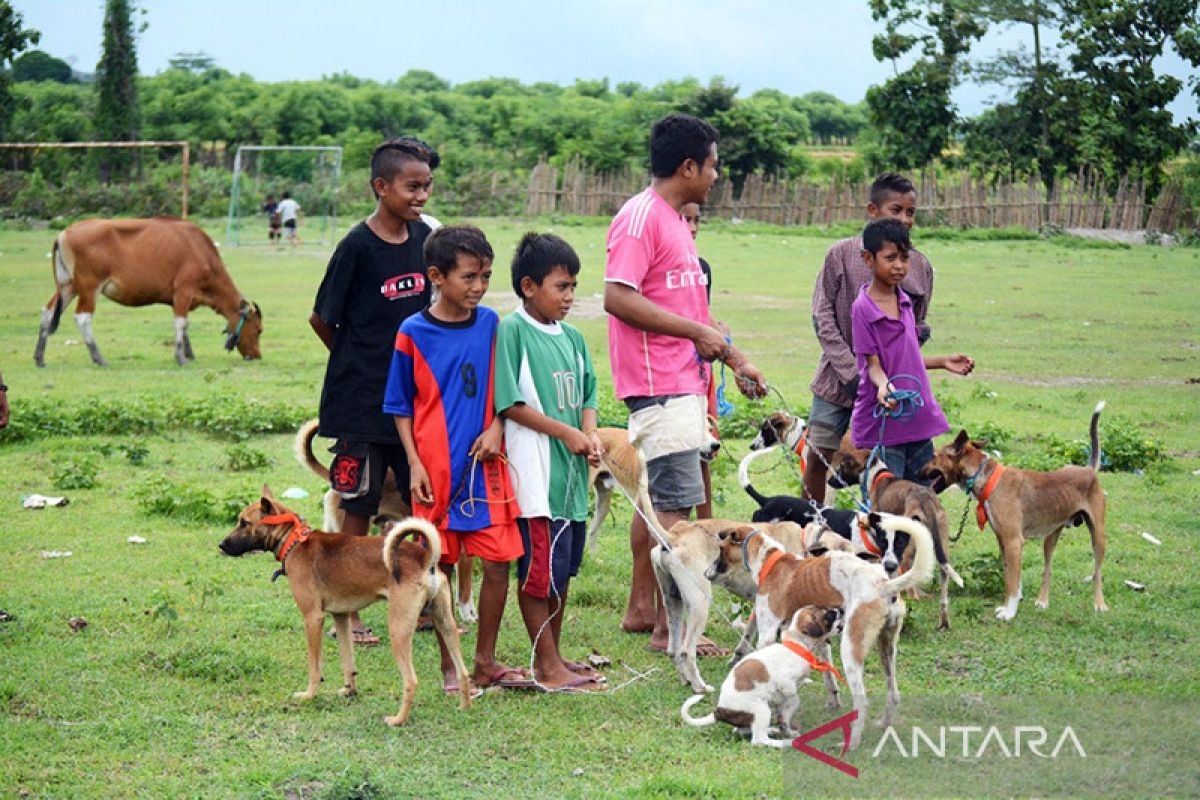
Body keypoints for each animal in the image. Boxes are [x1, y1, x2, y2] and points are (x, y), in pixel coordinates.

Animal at [35, 219, 262, 369]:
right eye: (259, 330)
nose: (257, 356)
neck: (201, 251)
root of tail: (64, 233)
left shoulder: (178, 298)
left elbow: (184, 325)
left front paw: (188, 353)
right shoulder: (184, 289)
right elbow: (181, 323)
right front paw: (181, 357)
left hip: (68, 286)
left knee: (48, 312)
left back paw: (39, 357)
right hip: (89, 288)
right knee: (83, 317)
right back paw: (98, 358)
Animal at [218, 484, 470, 729]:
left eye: (244, 523)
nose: (221, 545)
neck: (295, 541)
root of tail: (425, 558)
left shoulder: (313, 618)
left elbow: (314, 666)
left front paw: (309, 695)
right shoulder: (341, 617)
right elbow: (348, 660)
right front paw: (350, 690)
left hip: (398, 629)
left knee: (411, 680)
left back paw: (398, 719)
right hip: (445, 623)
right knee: (463, 671)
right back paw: (463, 707)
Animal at [681, 609, 849, 748]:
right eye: (829, 615)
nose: (841, 610)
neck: (798, 645)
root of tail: (720, 710)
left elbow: (785, 714)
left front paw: (787, 727)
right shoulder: (785, 682)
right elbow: (793, 698)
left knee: (741, 731)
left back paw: (772, 730)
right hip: (761, 709)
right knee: (758, 740)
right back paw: (784, 742)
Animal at [921, 402, 1108, 623]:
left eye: (933, 456)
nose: (916, 472)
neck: (988, 477)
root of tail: (1088, 469)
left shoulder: (1013, 542)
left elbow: (1011, 580)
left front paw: (1009, 612)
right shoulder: (1003, 541)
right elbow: (1010, 577)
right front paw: (1011, 604)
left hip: (1098, 536)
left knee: (1097, 572)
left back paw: (1099, 604)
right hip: (1051, 536)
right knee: (1048, 570)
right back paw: (1042, 601)